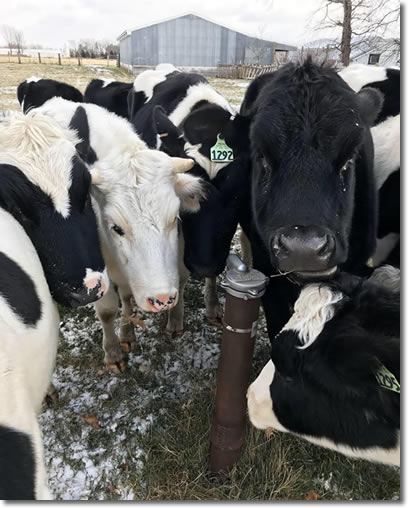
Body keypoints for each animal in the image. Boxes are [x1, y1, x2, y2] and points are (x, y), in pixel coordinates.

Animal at [34, 96, 203, 374]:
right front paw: (113, 352)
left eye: (174, 218)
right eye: (116, 227)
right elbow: (107, 310)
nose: (162, 299)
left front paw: (133, 332)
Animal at [129, 66, 252, 338]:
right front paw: (175, 319)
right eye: (186, 194)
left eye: (238, 196)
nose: (202, 265)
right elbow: (180, 271)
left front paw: (213, 306)